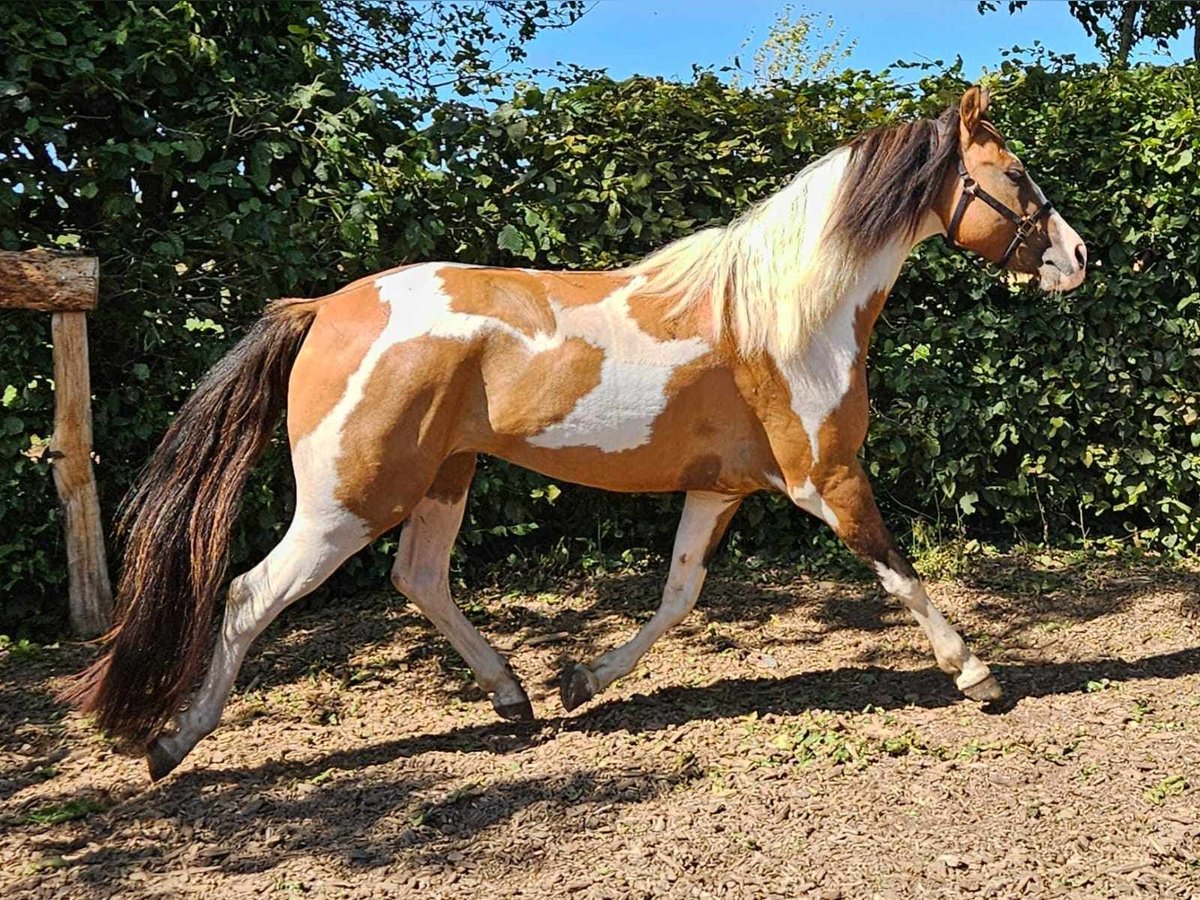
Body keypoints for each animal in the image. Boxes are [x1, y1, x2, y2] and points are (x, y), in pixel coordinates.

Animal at [65, 88, 1089, 787]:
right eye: (1017, 176)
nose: (1080, 257)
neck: (786, 314)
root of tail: (324, 307)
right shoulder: (827, 478)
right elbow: (899, 571)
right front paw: (979, 675)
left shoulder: (720, 486)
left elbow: (678, 595)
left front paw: (581, 681)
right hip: (347, 502)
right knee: (248, 595)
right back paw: (170, 743)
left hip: (444, 477)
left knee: (418, 578)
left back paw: (515, 697)